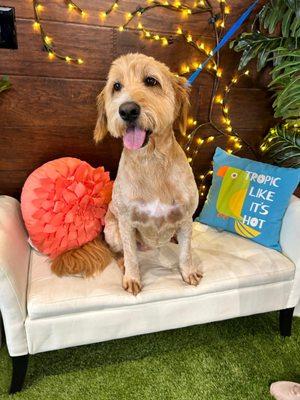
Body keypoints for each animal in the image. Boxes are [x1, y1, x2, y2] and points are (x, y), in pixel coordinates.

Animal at [94, 53, 202, 294]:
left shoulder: (186, 218)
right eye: (116, 86)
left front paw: (188, 272)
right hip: (113, 231)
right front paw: (133, 278)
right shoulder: (126, 221)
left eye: (151, 81)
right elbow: (131, 255)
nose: (127, 110)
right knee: (119, 252)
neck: (151, 160)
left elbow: (186, 252)